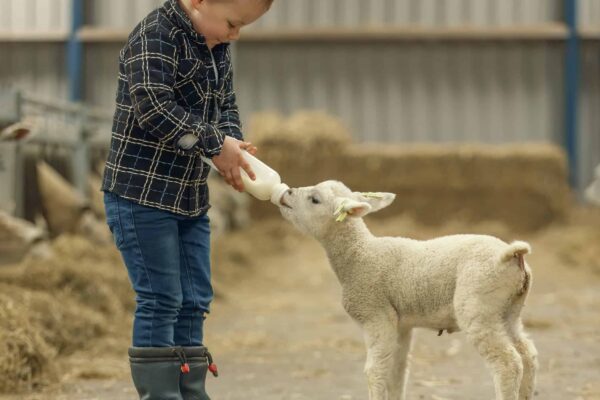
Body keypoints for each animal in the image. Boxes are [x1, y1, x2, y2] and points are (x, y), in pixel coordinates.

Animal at [276, 180, 540, 400]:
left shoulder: (376, 316)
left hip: (478, 305)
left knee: (508, 363)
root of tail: (510, 255)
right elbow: (397, 372)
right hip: (508, 311)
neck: (360, 254)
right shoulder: (401, 325)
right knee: (527, 354)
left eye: (315, 199)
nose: (287, 193)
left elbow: (375, 371)